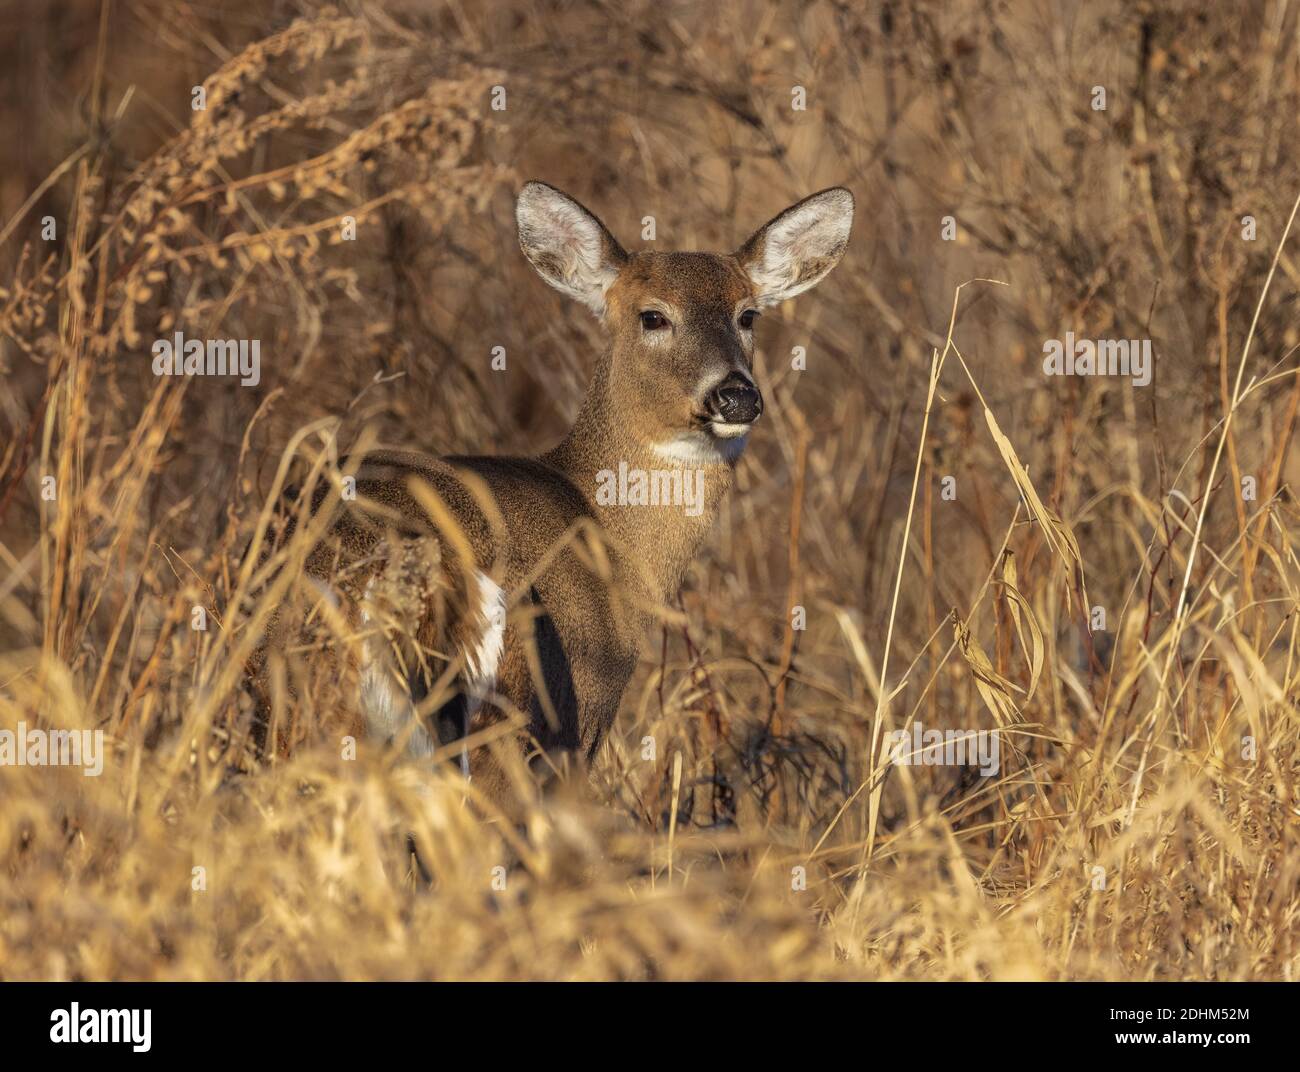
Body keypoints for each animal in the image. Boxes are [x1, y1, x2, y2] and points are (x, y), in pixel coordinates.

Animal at [258, 181, 857, 800]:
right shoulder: (582, 714)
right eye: (652, 316)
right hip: (503, 716)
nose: (736, 396)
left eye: (748, 314)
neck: (614, 540)